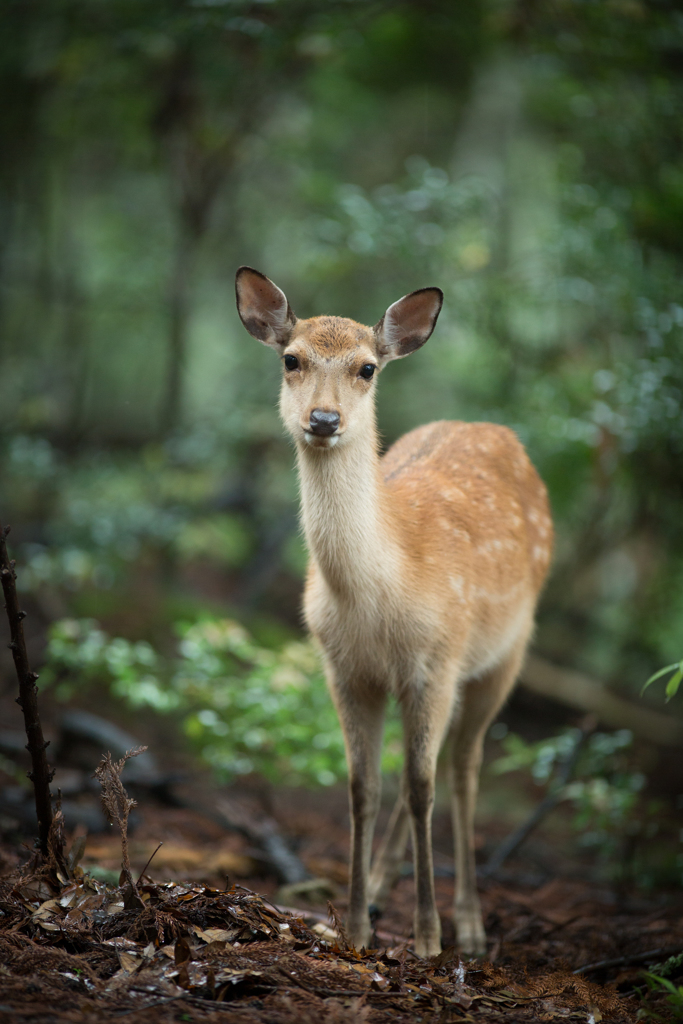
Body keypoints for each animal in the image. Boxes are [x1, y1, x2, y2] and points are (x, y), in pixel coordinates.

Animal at [235, 266, 557, 958]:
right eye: (291, 359)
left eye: (367, 368)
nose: (323, 418)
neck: (381, 595)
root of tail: (498, 431)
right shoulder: (346, 671)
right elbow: (364, 789)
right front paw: (353, 926)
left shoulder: (435, 662)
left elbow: (421, 787)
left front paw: (429, 938)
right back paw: (384, 889)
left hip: (506, 652)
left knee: (462, 769)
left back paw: (470, 923)